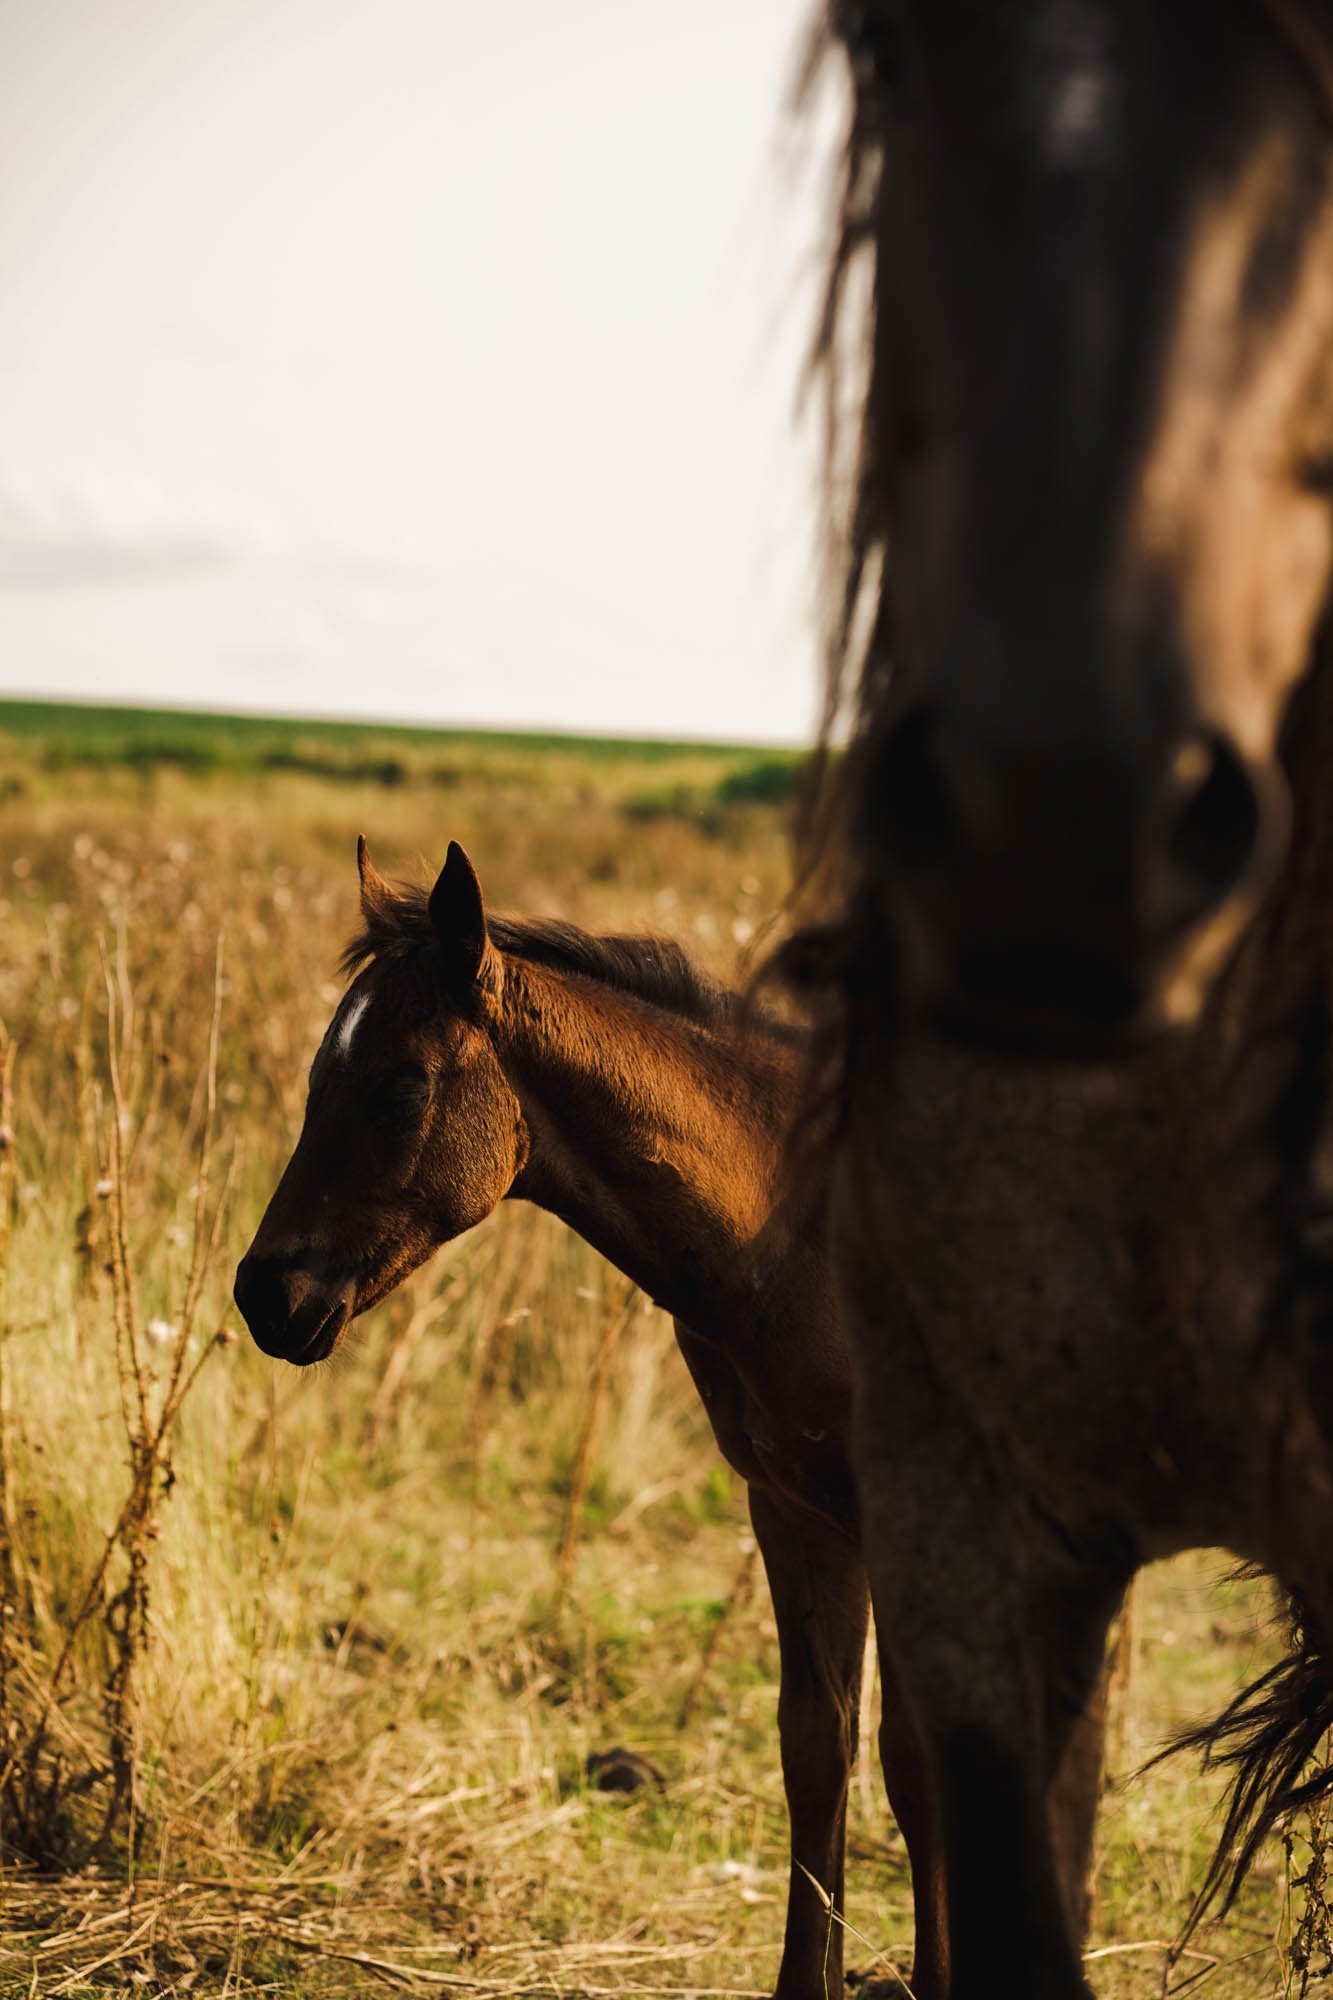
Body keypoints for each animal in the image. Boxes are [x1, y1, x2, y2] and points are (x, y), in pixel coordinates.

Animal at [236, 837, 970, 2000]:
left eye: (401, 1087)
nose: (267, 1294)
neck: (806, 1238)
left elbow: (915, 1762)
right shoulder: (794, 1507)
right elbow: (817, 1744)